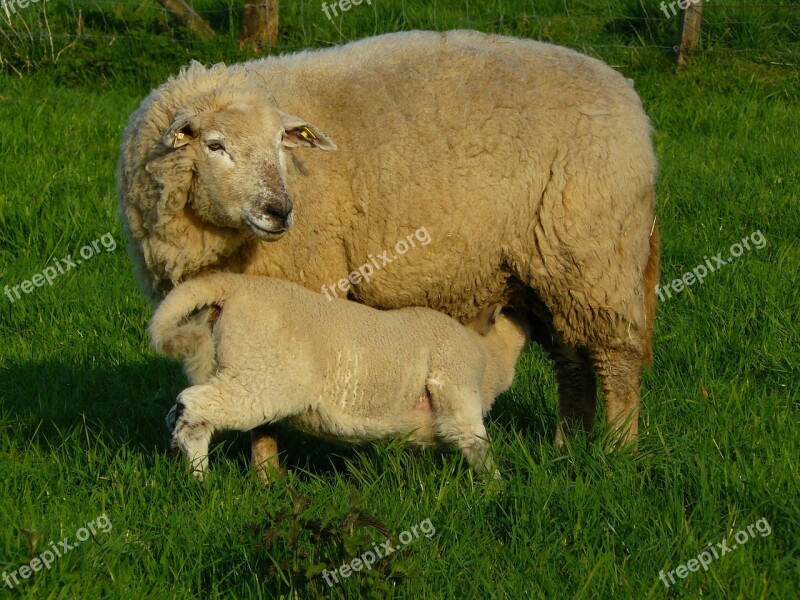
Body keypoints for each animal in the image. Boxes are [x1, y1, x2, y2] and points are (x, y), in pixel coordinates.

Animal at [149, 274, 532, 480]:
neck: (488, 354)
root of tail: (233, 286)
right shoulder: (457, 385)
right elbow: (474, 442)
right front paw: (497, 487)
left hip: (230, 368)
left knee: (177, 413)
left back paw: (181, 463)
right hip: (260, 378)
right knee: (193, 407)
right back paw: (200, 475)